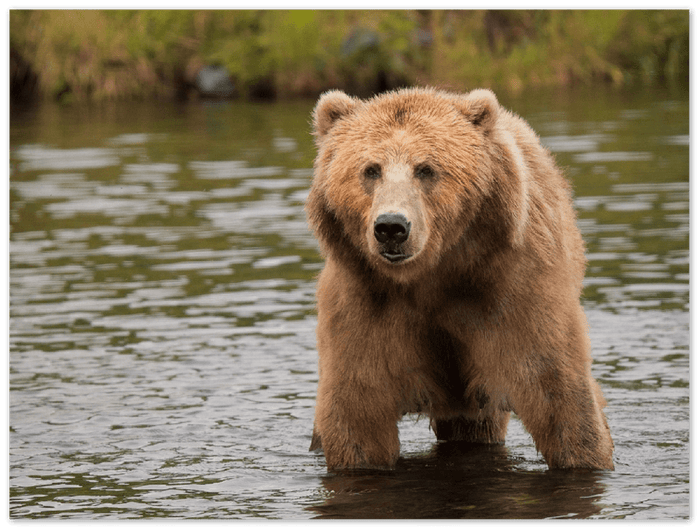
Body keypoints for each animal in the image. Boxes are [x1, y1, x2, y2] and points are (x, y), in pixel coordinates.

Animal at [305, 87, 614, 471]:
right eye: (370, 170)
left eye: (426, 169)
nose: (391, 227)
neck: (434, 274)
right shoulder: (365, 303)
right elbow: (358, 412)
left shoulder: (514, 291)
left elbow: (558, 394)